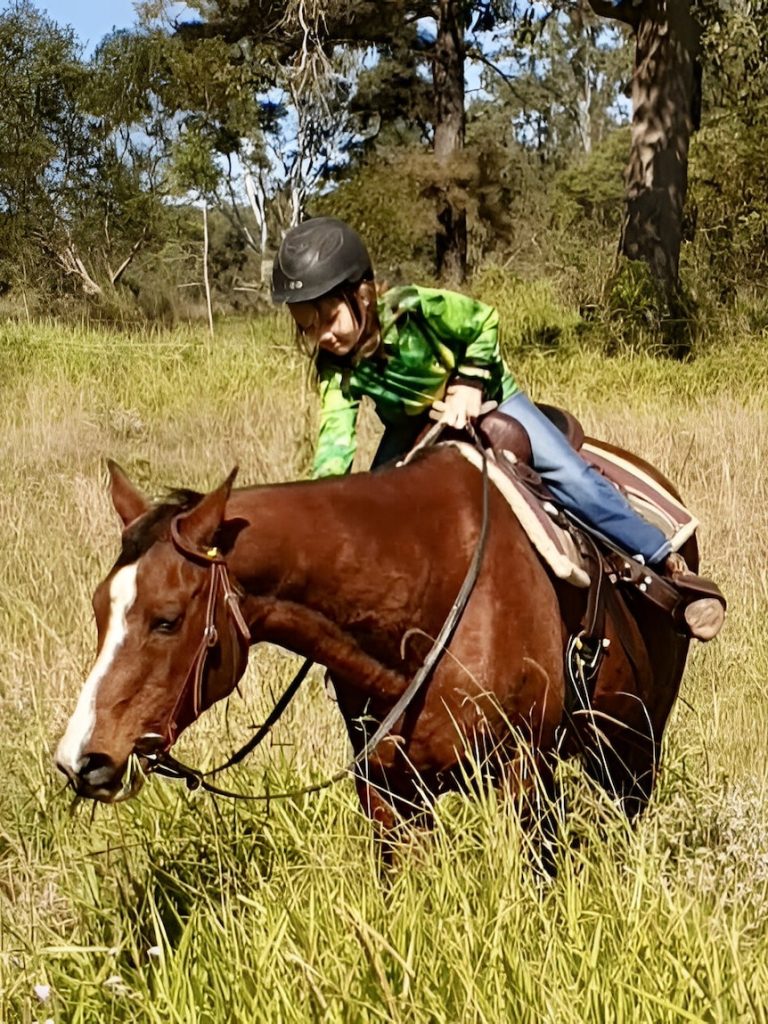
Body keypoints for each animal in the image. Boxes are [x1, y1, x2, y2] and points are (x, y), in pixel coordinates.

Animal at [55, 446, 694, 846]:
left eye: (166, 620)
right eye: (98, 608)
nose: (80, 760)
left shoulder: (525, 774)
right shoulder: (387, 790)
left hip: (635, 744)